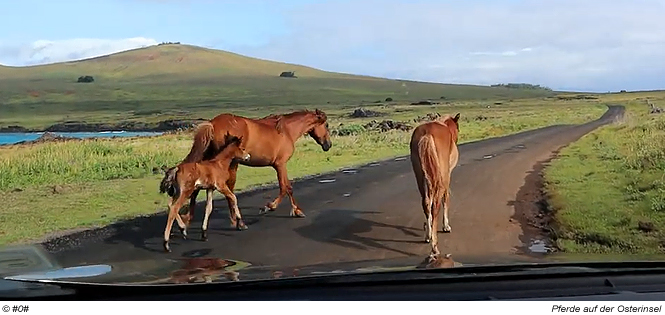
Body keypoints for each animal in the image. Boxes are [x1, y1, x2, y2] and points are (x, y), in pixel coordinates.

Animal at [166, 110, 332, 226]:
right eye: (327, 125)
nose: (328, 145)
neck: (286, 131)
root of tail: (213, 124)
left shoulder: (279, 165)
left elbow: (286, 187)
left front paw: (293, 210)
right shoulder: (280, 165)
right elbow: (286, 187)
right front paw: (272, 207)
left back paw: (189, 218)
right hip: (230, 163)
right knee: (229, 189)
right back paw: (235, 220)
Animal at [408, 113, 460, 256]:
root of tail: (427, 134)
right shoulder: (447, 176)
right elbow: (446, 198)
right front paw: (446, 226)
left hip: (420, 175)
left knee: (426, 202)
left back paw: (428, 236)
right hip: (440, 177)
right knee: (435, 205)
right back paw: (434, 247)